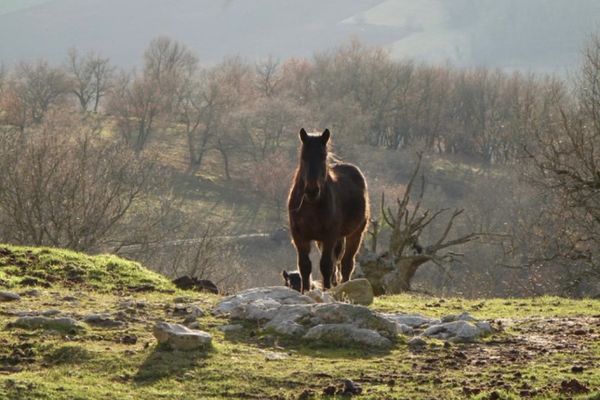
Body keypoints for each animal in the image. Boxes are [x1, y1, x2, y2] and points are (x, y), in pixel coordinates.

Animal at [288, 130, 368, 292]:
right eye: (303, 157)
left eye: (323, 157)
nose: (312, 191)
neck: (311, 206)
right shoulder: (299, 237)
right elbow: (305, 266)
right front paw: (305, 291)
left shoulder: (329, 236)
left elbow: (326, 265)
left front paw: (326, 290)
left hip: (355, 234)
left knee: (346, 263)